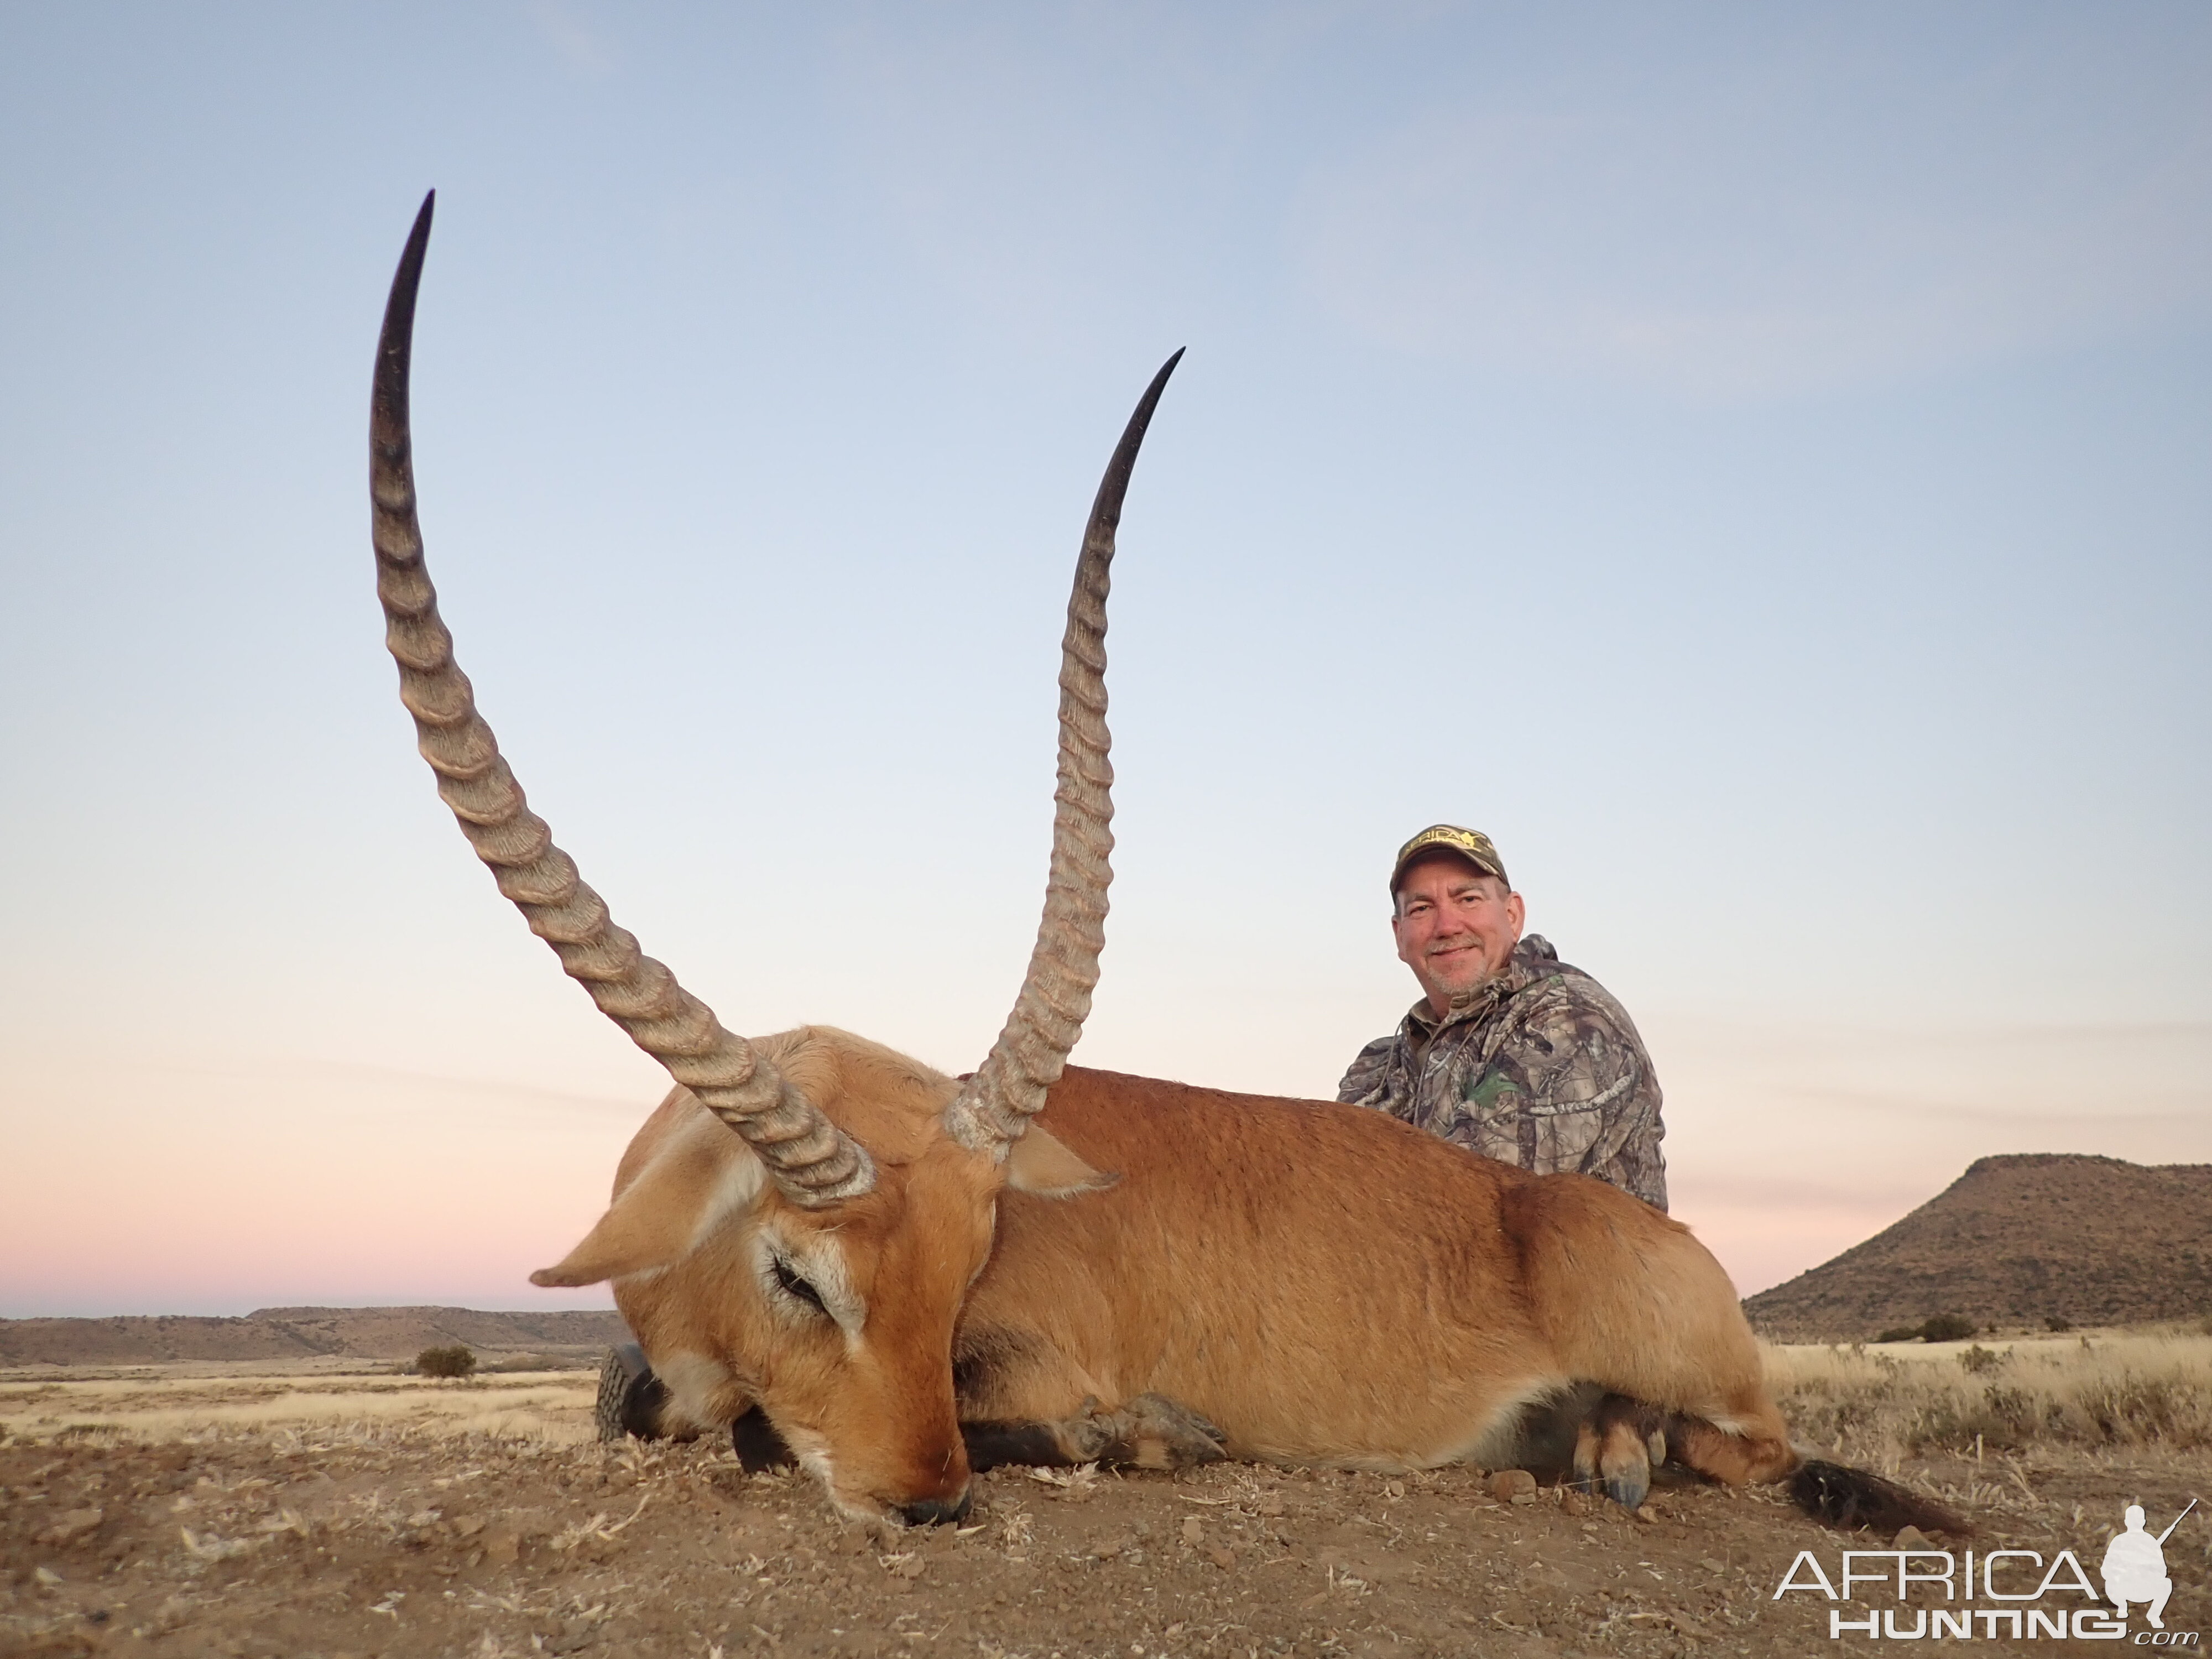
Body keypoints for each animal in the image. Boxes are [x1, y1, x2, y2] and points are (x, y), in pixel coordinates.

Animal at [367, 198, 1973, 1548]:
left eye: (969, 1259)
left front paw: (1148, 1437)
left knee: (1746, 1446)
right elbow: (640, 1407)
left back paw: (1614, 1450)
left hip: (1701, 1375)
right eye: (796, 1271)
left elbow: (800, 1429)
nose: (928, 1499)